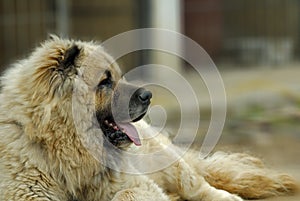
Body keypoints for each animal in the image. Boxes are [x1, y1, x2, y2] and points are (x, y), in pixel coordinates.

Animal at [0, 36, 296, 201]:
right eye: (105, 81)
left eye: (120, 76)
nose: (148, 95)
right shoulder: (24, 192)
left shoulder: (135, 183)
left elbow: (127, 194)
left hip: (171, 165)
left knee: (201, 188)